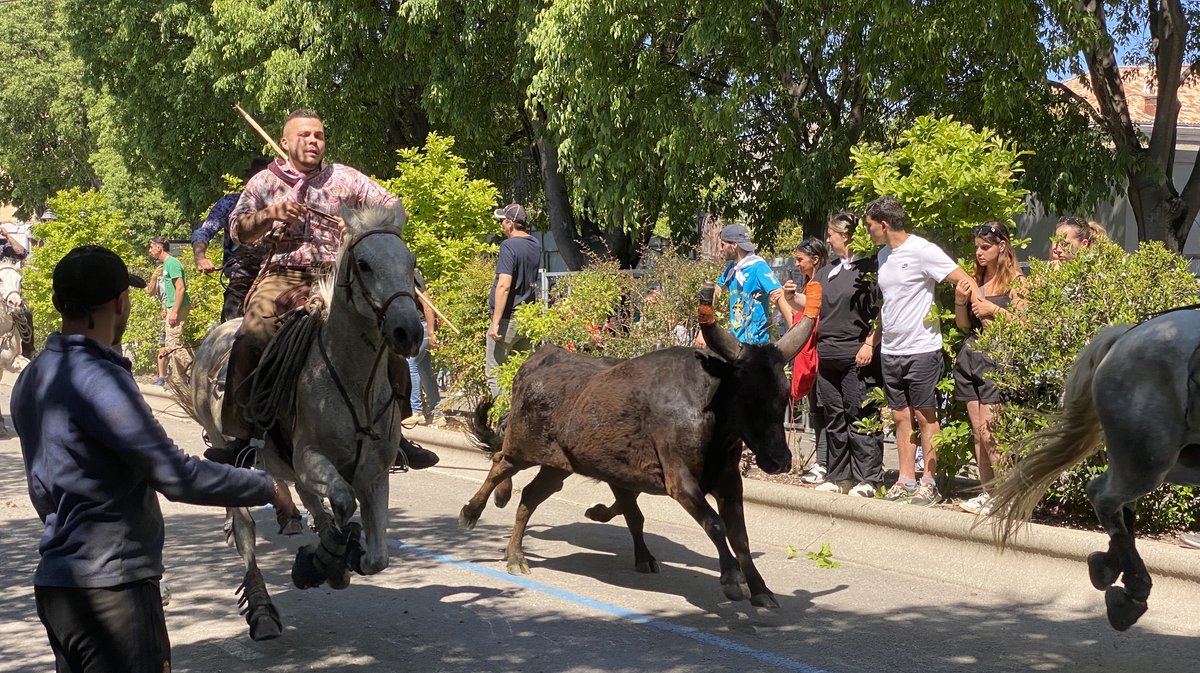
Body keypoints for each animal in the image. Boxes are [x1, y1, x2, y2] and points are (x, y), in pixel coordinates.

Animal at [180, 201, 420, 638]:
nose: (408, 331)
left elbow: (376, 557)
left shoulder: (374, 474)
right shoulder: (310, 457)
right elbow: (340, 502)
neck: (353, 382)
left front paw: (339, 559)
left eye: (410, 262)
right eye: (364, 264)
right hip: (230, 449)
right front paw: (324, 559)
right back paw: (262, 608)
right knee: (246, 530)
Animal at [460, 302, 816, 607]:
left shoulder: (727, 482)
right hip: (523, 447)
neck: (709, 411)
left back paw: (515, 554)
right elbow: (714, 524)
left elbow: (739, 536)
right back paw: (474, 513)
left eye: (784, 394)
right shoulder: (680, 481)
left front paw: (760, 589)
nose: (780, 460)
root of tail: (533, 362)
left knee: (529, 496)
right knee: (500, 465)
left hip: (557, 466)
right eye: (748, 396)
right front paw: (731, 578)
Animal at [988, 309, 1200, 628]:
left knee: (1116, 499)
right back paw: (1132, 589)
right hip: (1150, 456)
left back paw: (1108, 567)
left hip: (1170, 459)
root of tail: (1126, 336)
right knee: (1104, 495)